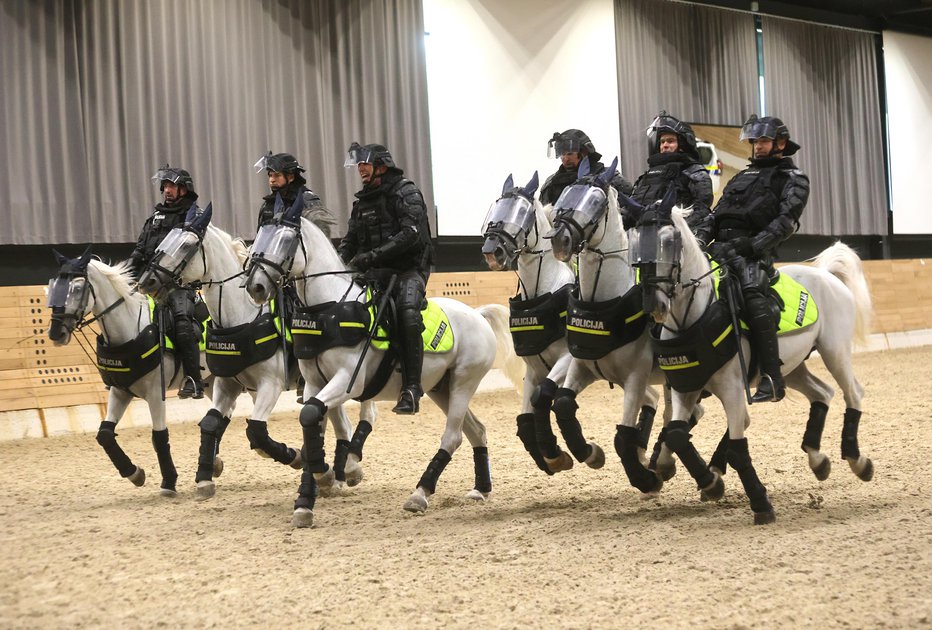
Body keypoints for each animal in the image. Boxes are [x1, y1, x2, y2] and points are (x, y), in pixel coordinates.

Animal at [47, 247, 202, 498]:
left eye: (77, 288)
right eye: (54, 287)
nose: (56, 333)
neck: (130, 327)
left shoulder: (154, 394)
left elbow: (159, 436)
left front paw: (169, 481)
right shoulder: (120, 390)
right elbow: (104, 434)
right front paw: (134, 473)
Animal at [137, 205, 368, 502]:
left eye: (187, 245)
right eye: (164, 240)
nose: (147, 281)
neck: (241, 317)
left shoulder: (271, 385)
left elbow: (257, 432)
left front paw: (294, 456)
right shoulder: (226, 384)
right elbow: (211, 424)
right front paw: (205, 479)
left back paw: (341, 470)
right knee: (339, 420)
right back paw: (343, 473)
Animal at [242, 196, 524, 528]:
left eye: (285, 240)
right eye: (258, 237)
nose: (256, 287)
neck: (329, 308)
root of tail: (478, 315)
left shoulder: (348, 381)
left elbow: (313, 416)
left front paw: (329, 477)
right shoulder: (313, 383)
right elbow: (311, 423)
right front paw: (308, 499)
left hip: (463, 383)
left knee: (453, 436)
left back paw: (420, 494)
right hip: (441, 388)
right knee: (476, 430)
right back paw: (480, 488)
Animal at [628, 196, 876, 524]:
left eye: (669, 241)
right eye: (634, 242)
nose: (653, 303)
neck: (695, 316)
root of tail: (826, 275)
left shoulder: (733, 390)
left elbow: (736, 448)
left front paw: (760, 504)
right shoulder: (685, 385)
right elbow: (677, 434)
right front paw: (708, 482)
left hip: (834, 351)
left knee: (854, 393)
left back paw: (858, 460)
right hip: (791, 368)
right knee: (822, 392)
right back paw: (818, 459)